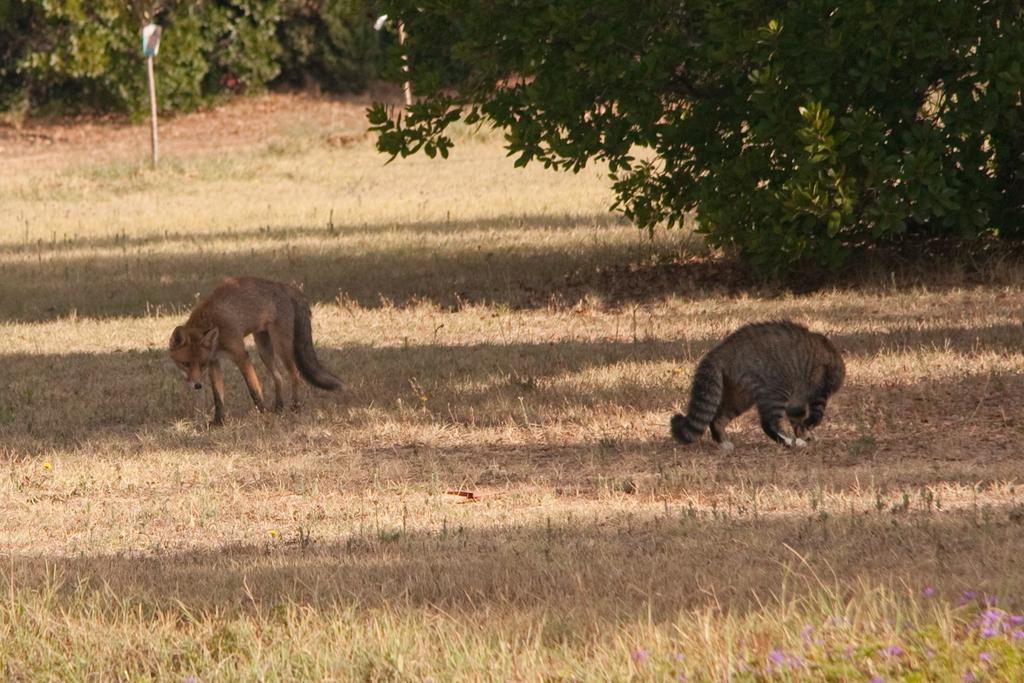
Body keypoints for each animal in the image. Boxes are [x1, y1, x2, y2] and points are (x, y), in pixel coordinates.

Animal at [167, 276, 342, 423]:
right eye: (186, 364)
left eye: (201, 365)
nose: (197, 386)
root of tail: (285, 285)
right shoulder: (215, 362)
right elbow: (218, 397)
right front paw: (218, 422)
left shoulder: (241, 355)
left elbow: (254, 389)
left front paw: (264, 415)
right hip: (263, 349)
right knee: (279, 377)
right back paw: (279, 408)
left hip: (282, 347)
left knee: (295, 375)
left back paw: (295, 407)